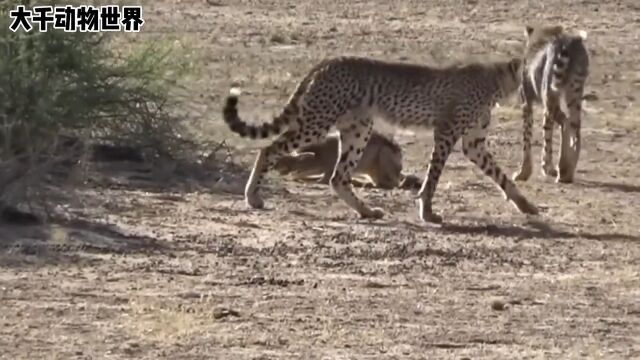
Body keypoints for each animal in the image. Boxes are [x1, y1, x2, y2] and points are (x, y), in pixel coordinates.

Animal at [272, 130, 422, 191]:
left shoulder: (327, 173)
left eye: (283, 161)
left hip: (384, 157)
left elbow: (317, 180)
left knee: (394, 184)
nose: (274, 168)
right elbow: (300, 175)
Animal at [512, 25, 592, 183]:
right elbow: (564, 123)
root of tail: (570, 41)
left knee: (548, 135)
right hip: (574, 95)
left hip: (550, 95)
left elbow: (527, 140)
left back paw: (551, 168)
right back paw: (566, 172)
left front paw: (524, 172)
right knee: (576, 132)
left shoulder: (527, 103)